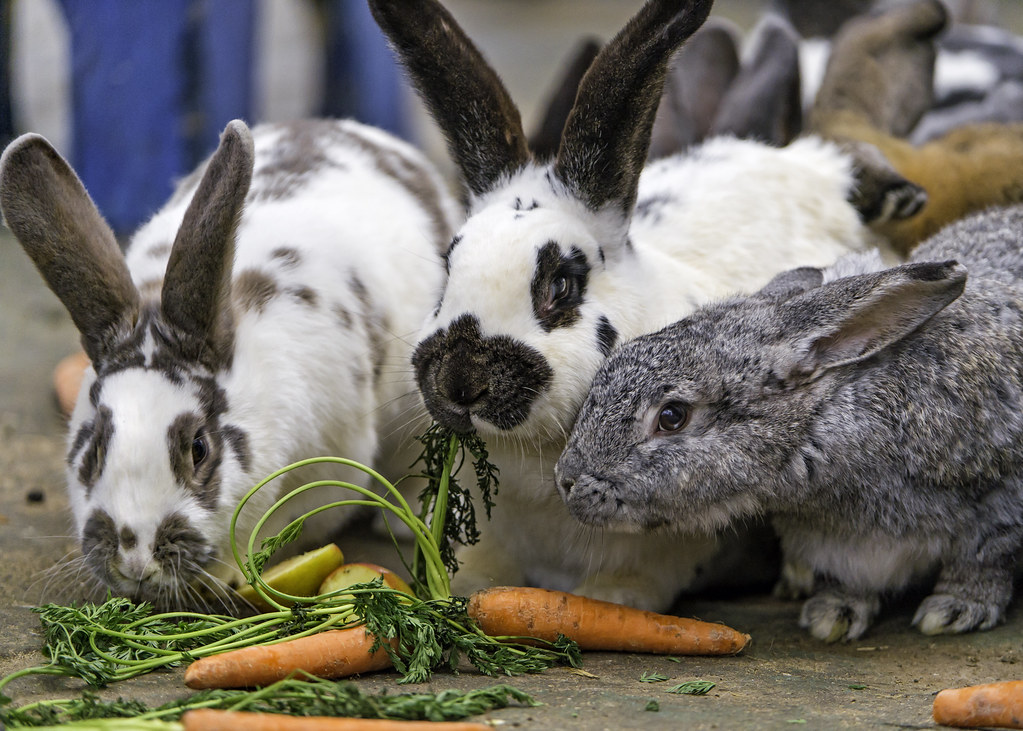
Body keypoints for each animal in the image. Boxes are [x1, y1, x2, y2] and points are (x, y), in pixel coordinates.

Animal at [367, 0, 916, 612]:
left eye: (561, 285)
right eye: (448, 266)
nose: (461, 383)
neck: (531, 456)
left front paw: (610, 600)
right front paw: (465, 589)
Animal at [556, 203, 1023, 642]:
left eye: (672, 417)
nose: (566, 480)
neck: (825, 419)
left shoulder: (997, 504)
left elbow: (983, 559)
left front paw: (954, 610)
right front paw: (832, 615)